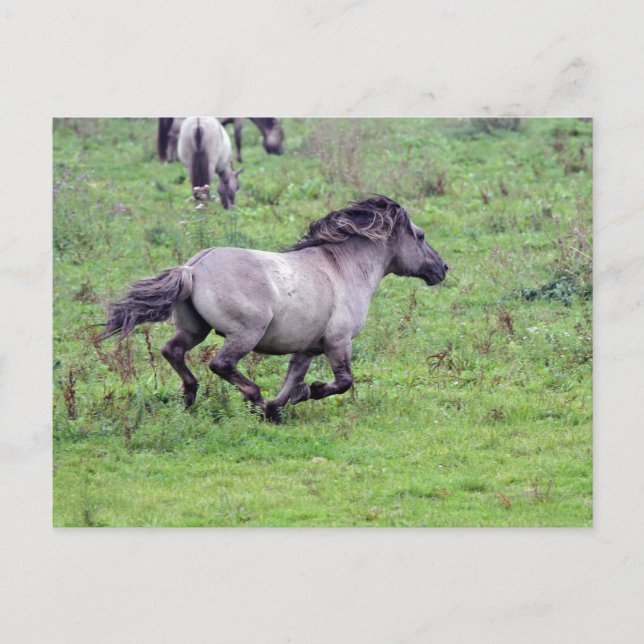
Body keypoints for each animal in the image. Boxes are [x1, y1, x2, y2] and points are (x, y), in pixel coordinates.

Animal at [100, 196, 448, 423]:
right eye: (420, 236)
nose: (443, 269)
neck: (342, 269)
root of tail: (192, 268)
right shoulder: (338, 341)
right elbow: (343, 381)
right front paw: (307, 392)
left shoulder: (307, 348)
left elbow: (292, 379)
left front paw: (278, 408)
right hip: (244, 333)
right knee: (221, 364)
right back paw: (251, 398)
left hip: (193, 329)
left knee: (172, 351)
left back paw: (189, 395)